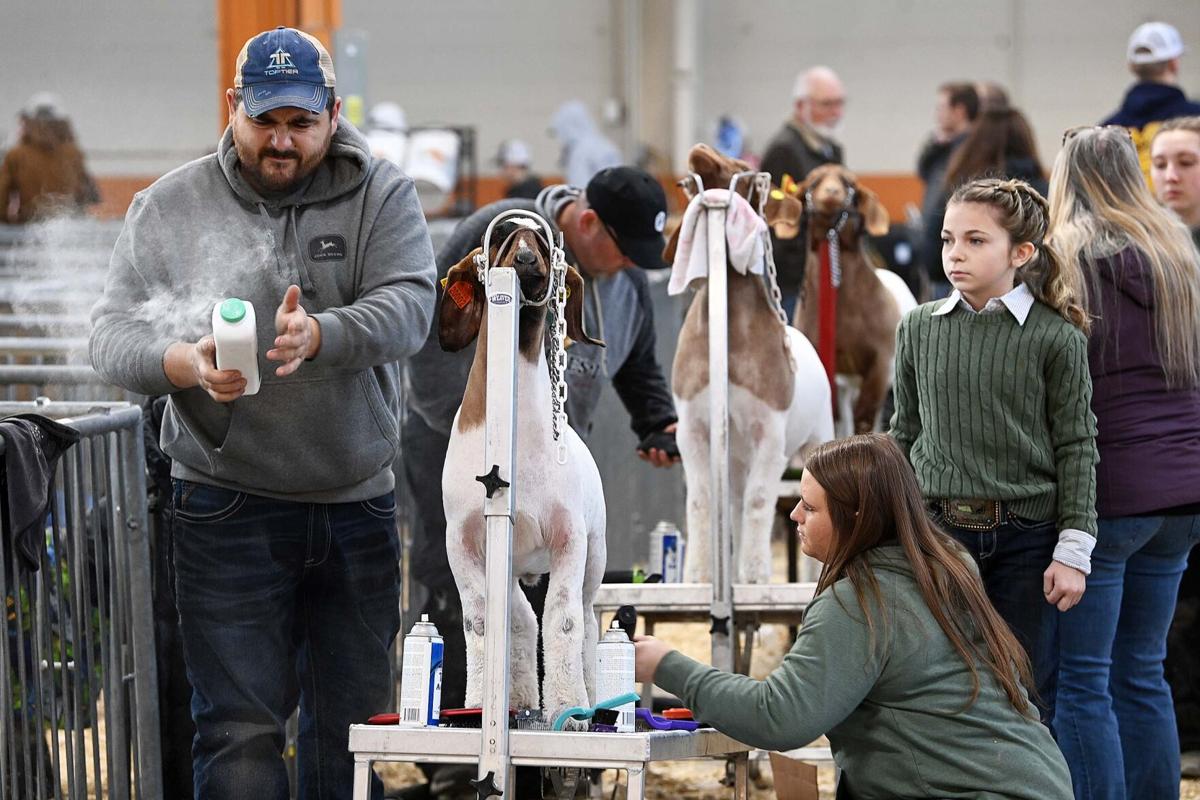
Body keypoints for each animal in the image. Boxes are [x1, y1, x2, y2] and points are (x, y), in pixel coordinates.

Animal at [439, 217, 609, 724]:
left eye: (545, 242)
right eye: (499, 238)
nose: (526, 260)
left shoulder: (569, 537)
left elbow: (564, 619)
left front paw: (568, 706)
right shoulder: (462, 541)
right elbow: (480, 620)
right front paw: (478, 706)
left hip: (596, 554)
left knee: (585, 618)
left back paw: (588, 697)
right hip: (511, 563)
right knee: (518, 617)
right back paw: (516, 698)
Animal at [796, 164, 916, 438]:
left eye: (849, 183)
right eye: (813, 181)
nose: (831, 193)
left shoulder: (880, 363)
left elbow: (865, 416)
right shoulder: (828, 364)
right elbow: (837, 417)